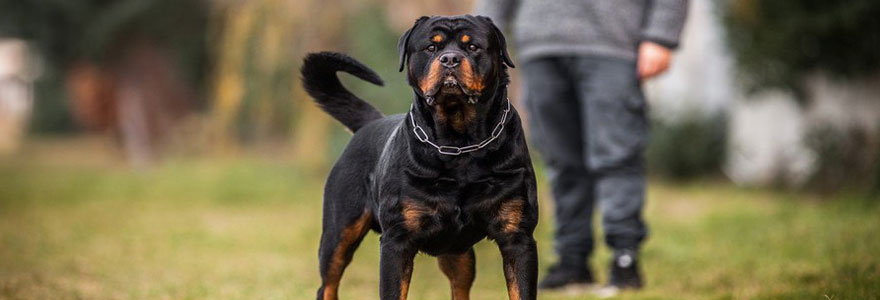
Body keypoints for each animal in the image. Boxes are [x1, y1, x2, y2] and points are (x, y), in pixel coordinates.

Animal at [300, 14, 536, 300]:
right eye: (431, 47)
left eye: (472, 47)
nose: (450, 58)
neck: (459, 144)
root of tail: (370, 122)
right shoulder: (397, 240)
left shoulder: (518, 237)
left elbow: (520, 289)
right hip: (340, 230)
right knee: (328, 283)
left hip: (458, 251)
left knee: (460, 286)